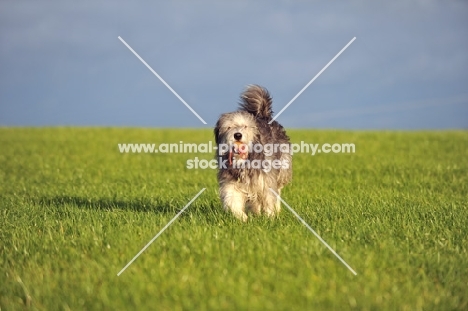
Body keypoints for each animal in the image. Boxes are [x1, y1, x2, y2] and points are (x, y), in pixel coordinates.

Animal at [215, 85, 292, 222]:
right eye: (229, 127)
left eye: (246, 126)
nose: (237, 135)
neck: (243, 160)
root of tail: (264, 115)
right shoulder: (231, 181)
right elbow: (232, 200)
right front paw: (242, 218)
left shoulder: (266, 179)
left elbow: (269, 198)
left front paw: (270, 218)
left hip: (282, 169)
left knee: (277, 191)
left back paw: (276, 209)